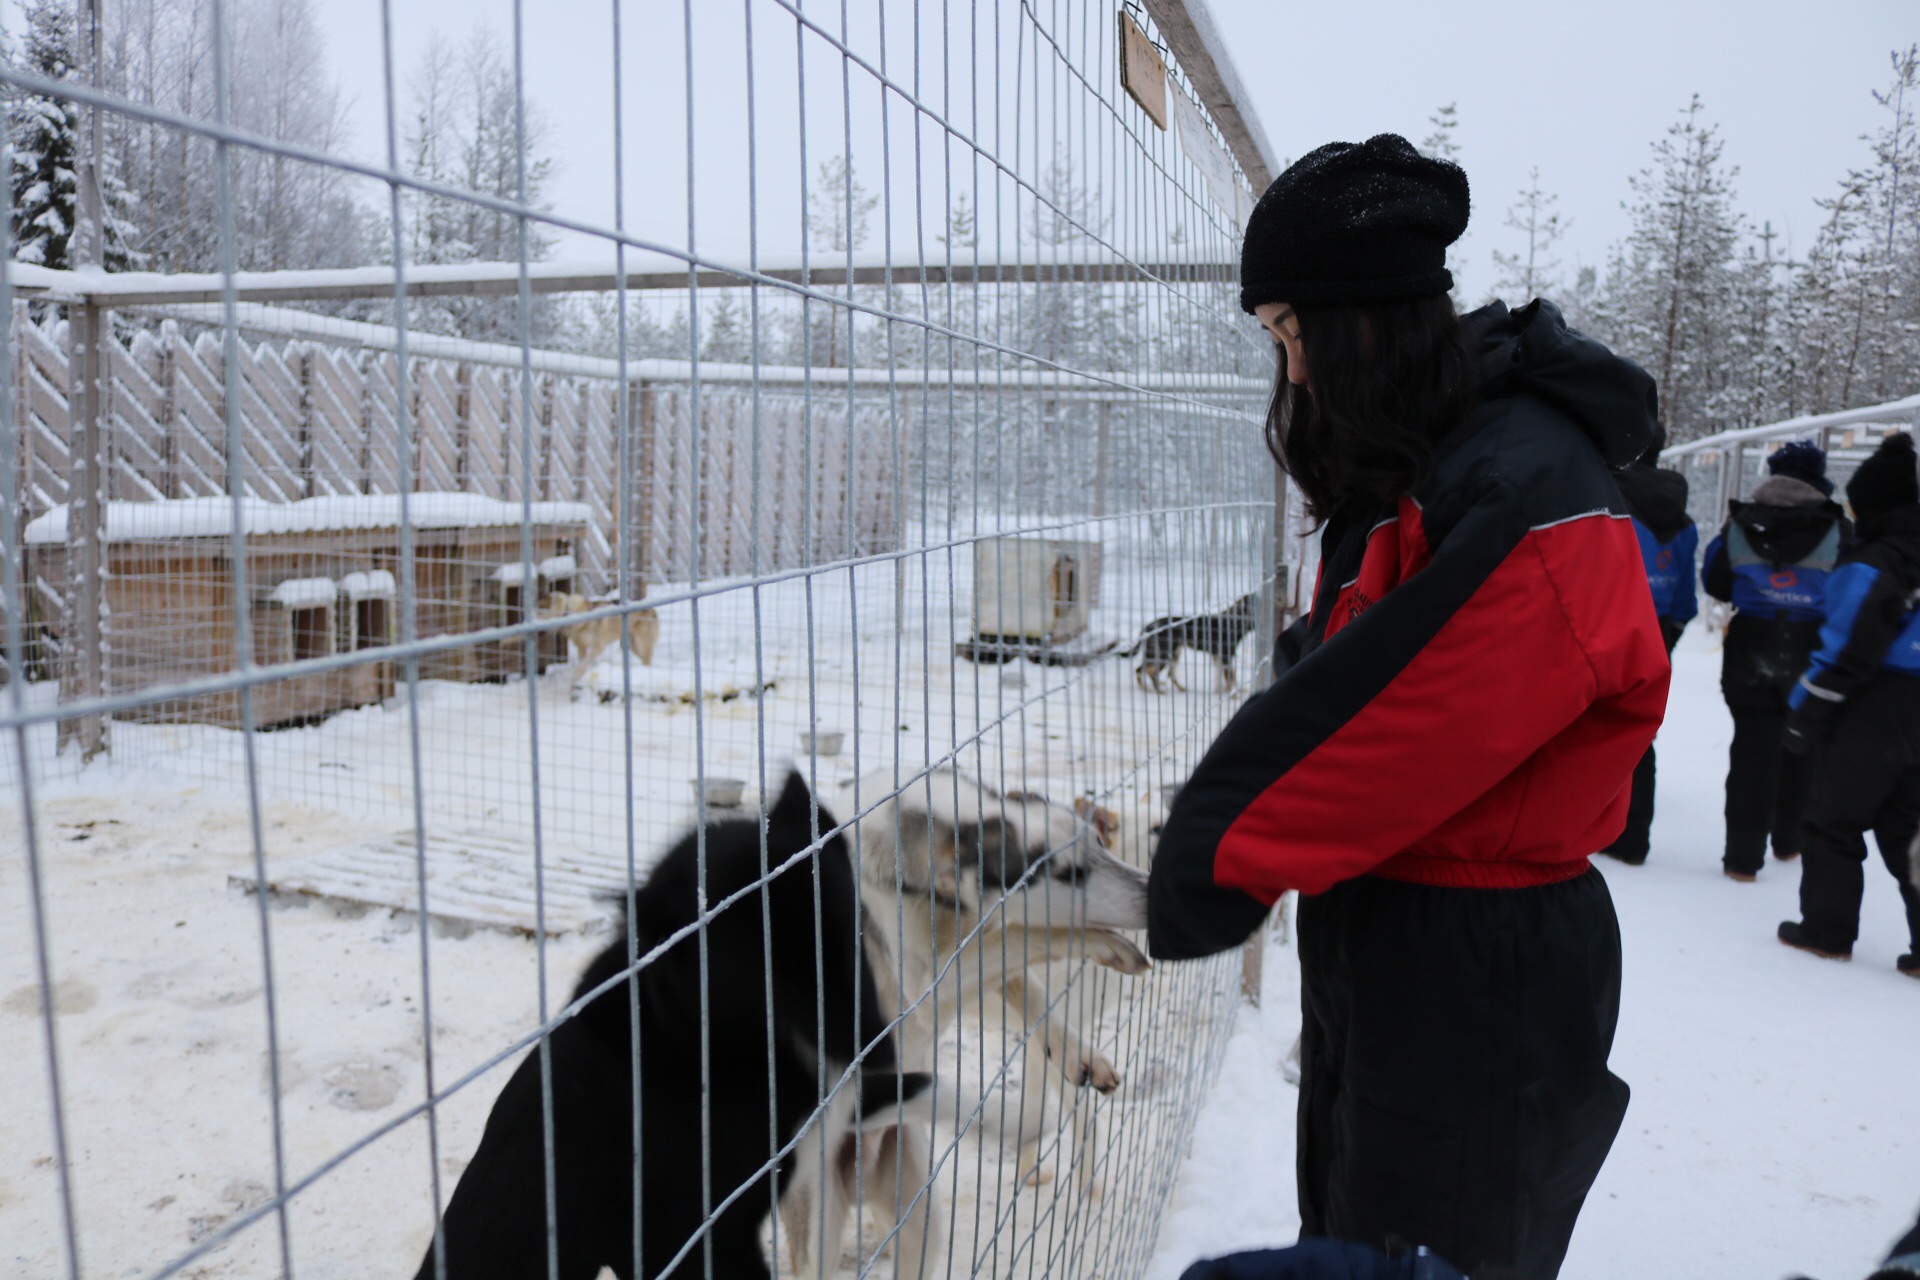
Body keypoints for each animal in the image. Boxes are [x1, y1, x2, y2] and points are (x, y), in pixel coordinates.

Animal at [1121, 594, 1259, 694]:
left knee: (1155, 672)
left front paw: (1222, 690)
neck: (1234, 621)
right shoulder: (1226, 656)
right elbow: (1231, 676)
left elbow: (1224, 676)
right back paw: (1155, 689)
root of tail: (1147, 626)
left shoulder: (1218, 656)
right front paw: (1233, 693)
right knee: (1150, 672)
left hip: (1172, 653)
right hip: (1164, 655)